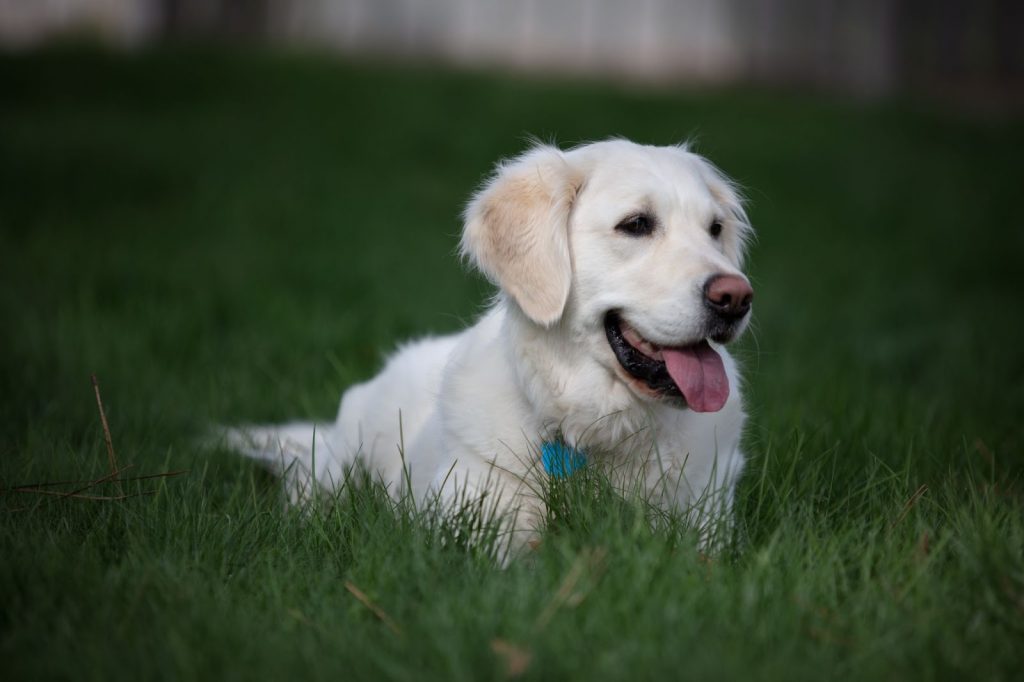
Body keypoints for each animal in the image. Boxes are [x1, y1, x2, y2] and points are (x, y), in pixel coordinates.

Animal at [224, 138, 753, 552]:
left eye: (715, 229)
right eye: (637, 224)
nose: (736, 297)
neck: (595, 432)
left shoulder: (707, 519)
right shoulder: (477, 522)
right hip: (344, 460)